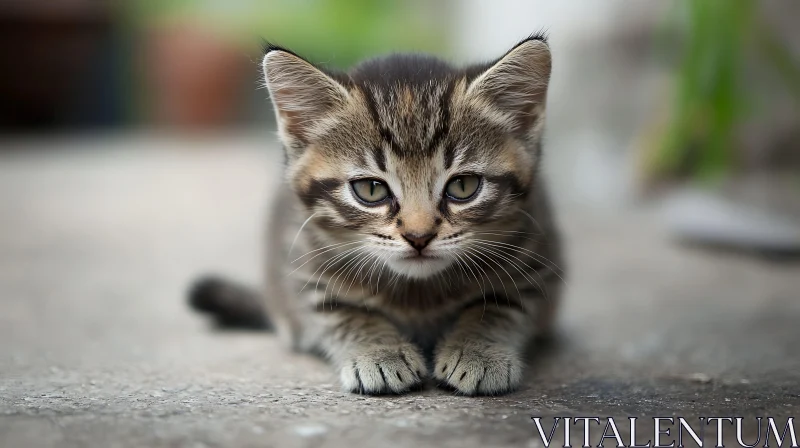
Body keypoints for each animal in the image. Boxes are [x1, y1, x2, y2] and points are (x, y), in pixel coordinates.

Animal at [188, 35, 564, 398]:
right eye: (370, 190)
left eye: (463, 186)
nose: (418, 237)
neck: (418, 293)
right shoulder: (301, 267)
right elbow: (342, 312)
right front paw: (381, 353)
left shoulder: (536, 259)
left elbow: (502, 306)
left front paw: (478, 352)